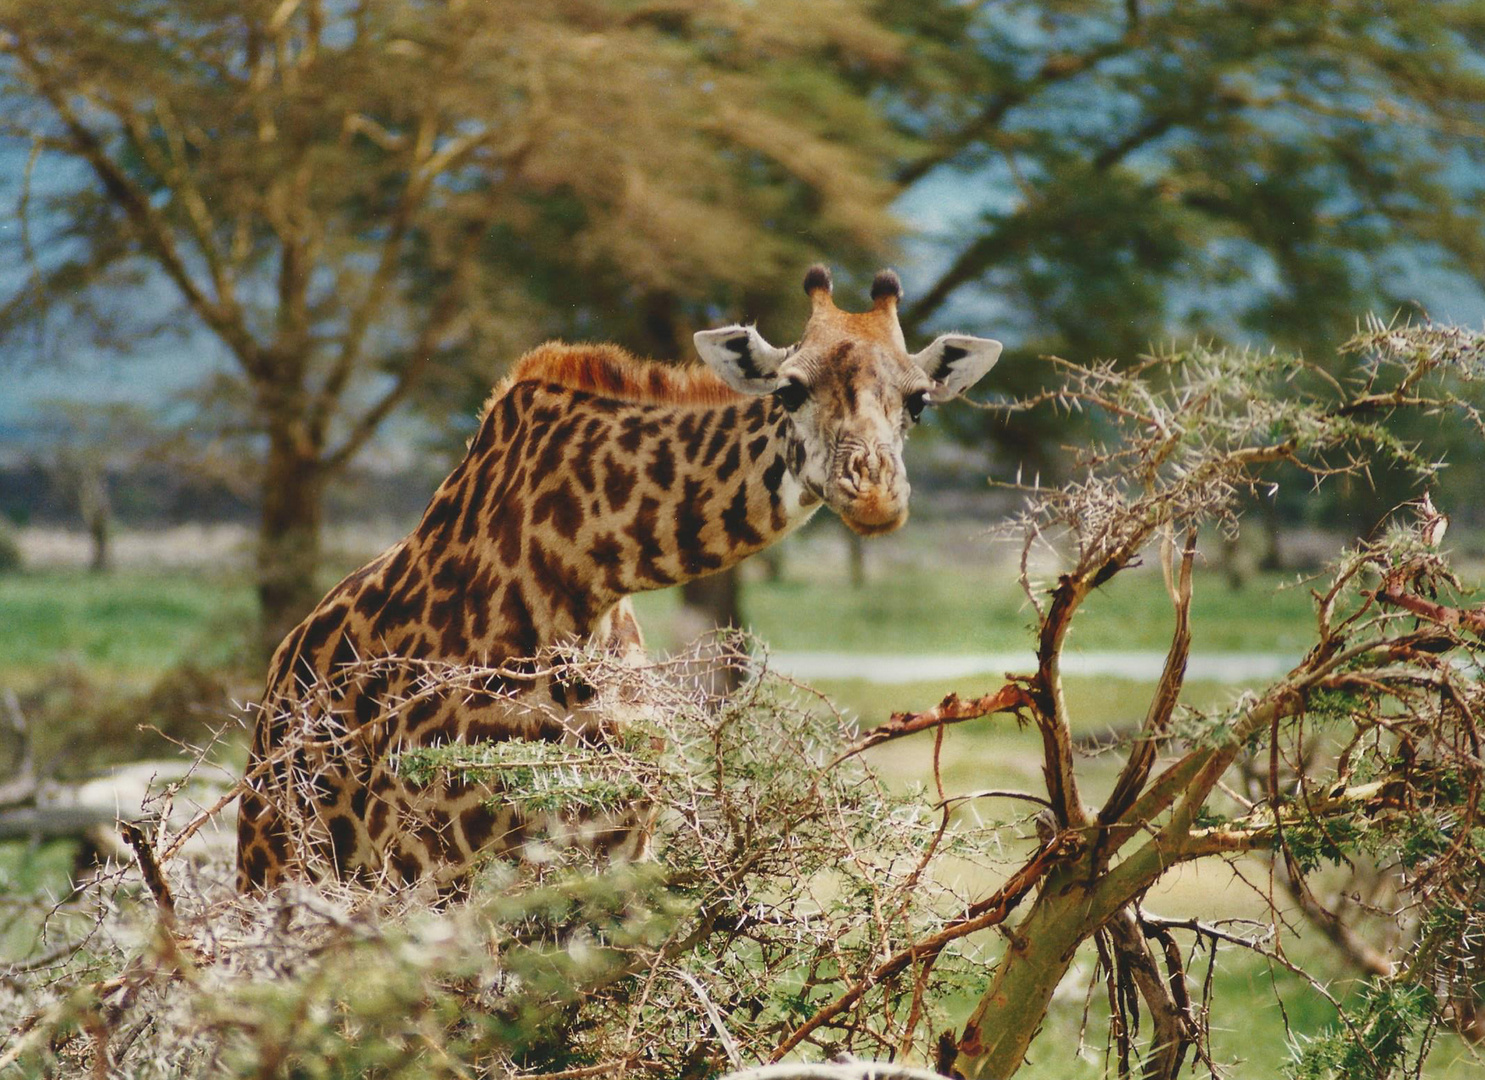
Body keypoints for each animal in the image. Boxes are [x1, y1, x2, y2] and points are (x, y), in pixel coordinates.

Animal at [234, 265, 997, 891]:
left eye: (919, 401)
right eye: (789, 388)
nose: (873, 495)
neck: (579, 578)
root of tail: (278, 680)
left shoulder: (618, 849)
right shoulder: (435, 857)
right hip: (285, 864)